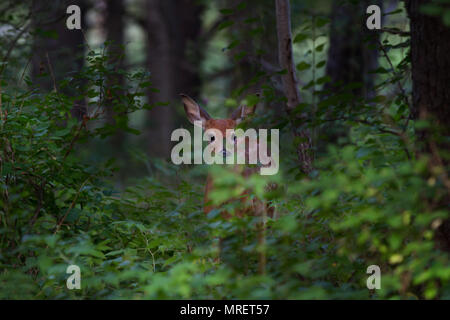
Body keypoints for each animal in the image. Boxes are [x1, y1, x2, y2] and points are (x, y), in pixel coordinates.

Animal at [179, 93, 274, 276]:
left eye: (234, 136)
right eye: (211, 137)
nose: (224, 152)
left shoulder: (242, 215)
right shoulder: (211, 217)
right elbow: (215, 255)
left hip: (268, 207)